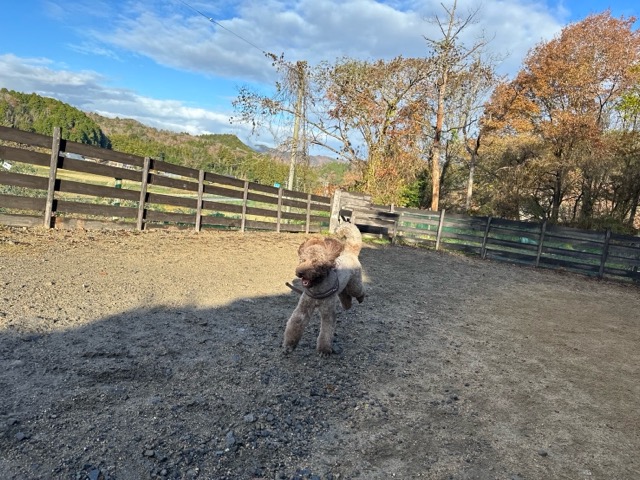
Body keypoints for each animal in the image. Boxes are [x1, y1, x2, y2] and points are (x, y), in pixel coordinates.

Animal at [283, 222, 365, 356]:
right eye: (302, 260)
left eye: (316, 262)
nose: (300, 273)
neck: (317, 288)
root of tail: (350, 252)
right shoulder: (303, 309)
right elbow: (295, 323)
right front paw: (289, 345)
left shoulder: (328, 312)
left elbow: (326, 331)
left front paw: (324, 350)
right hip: (343, 288)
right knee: (344, 295)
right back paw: (347, 304)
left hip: (355, 283)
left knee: (359, 290)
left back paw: (361, 298)